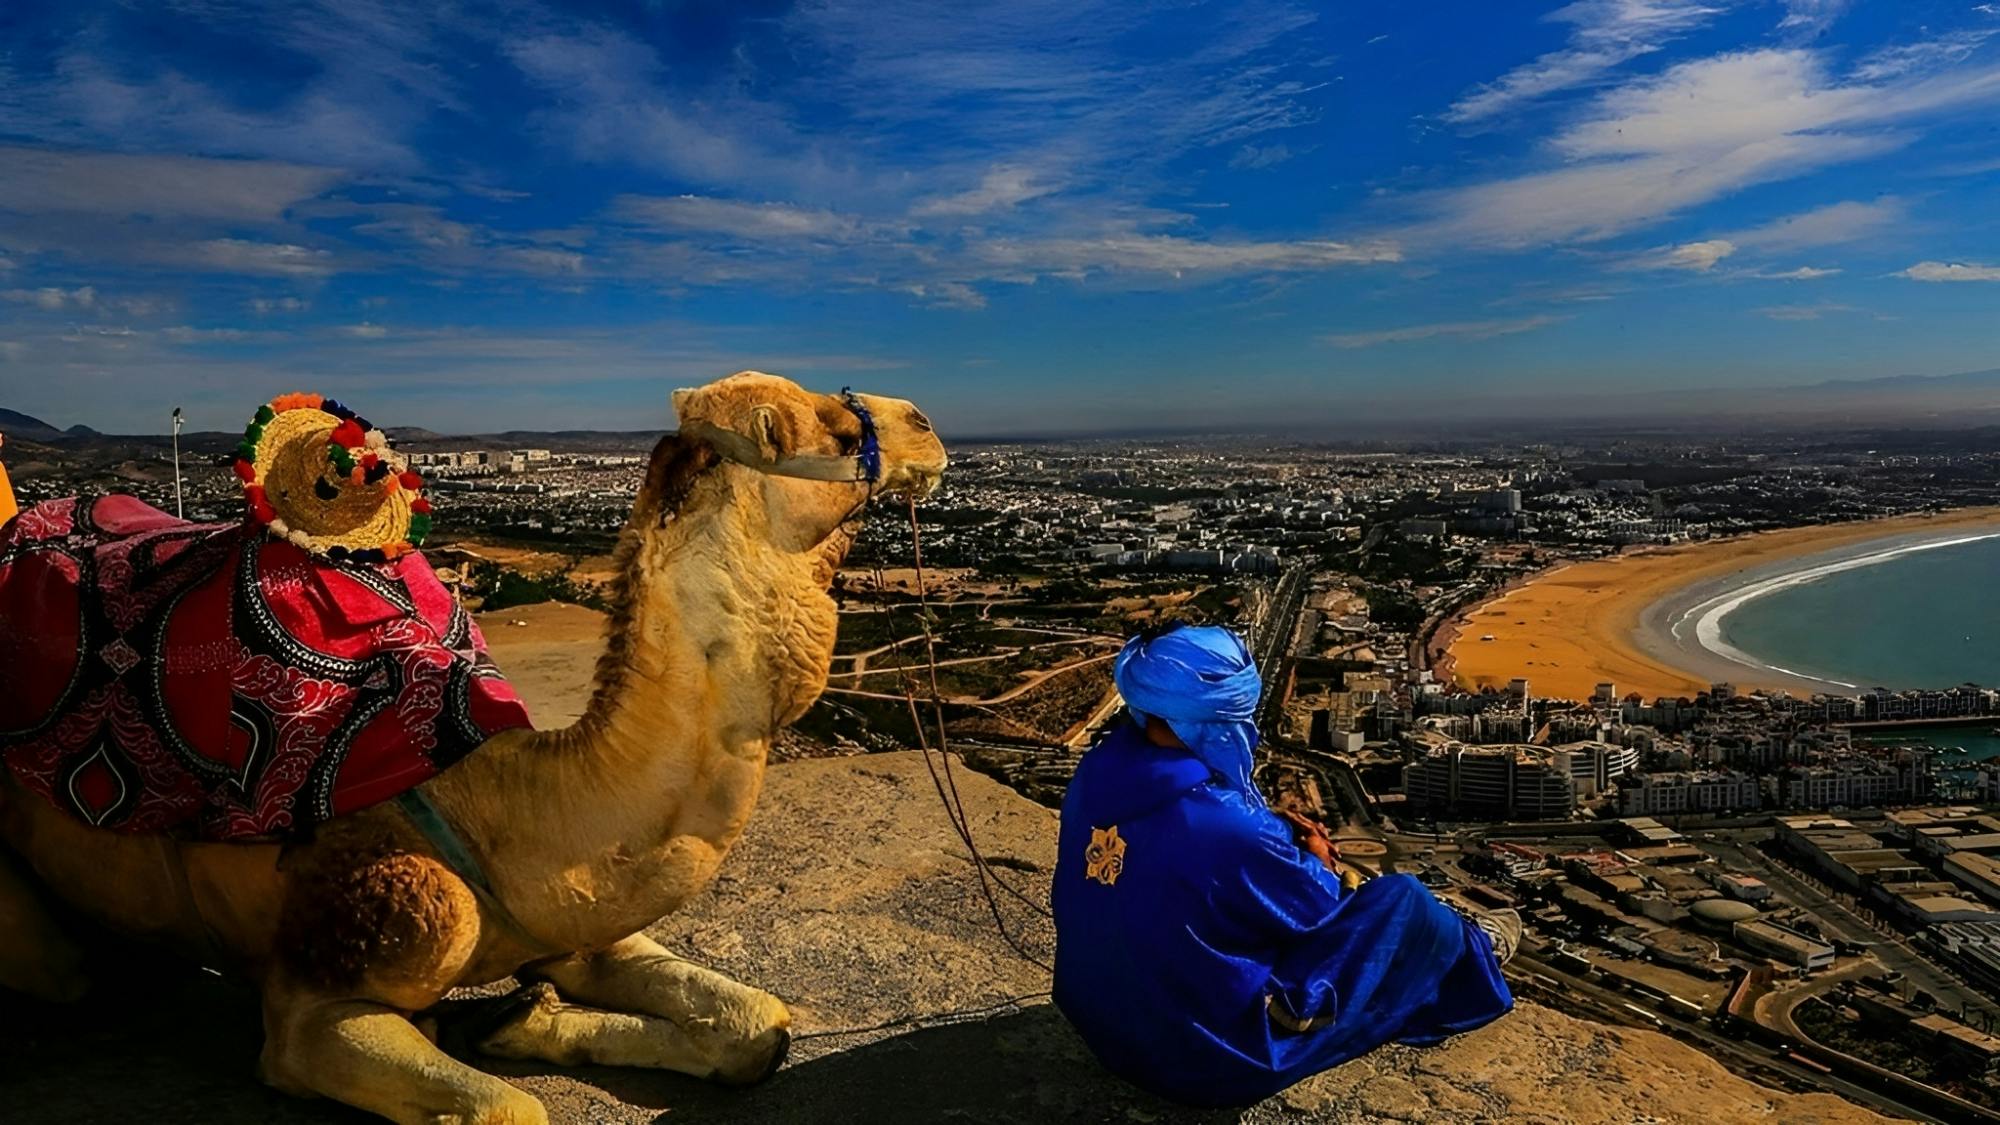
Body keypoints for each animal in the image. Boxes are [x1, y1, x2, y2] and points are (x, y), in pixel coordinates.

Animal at [0, 372, 948, 1112]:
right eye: (832, 425)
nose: (927, 422)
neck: (508, 809)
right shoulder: (323, 995)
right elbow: (506, 1107)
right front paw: (495, 1026)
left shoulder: (580, 914)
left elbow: (761, 1025)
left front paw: (520, 1018)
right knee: (64, 969)